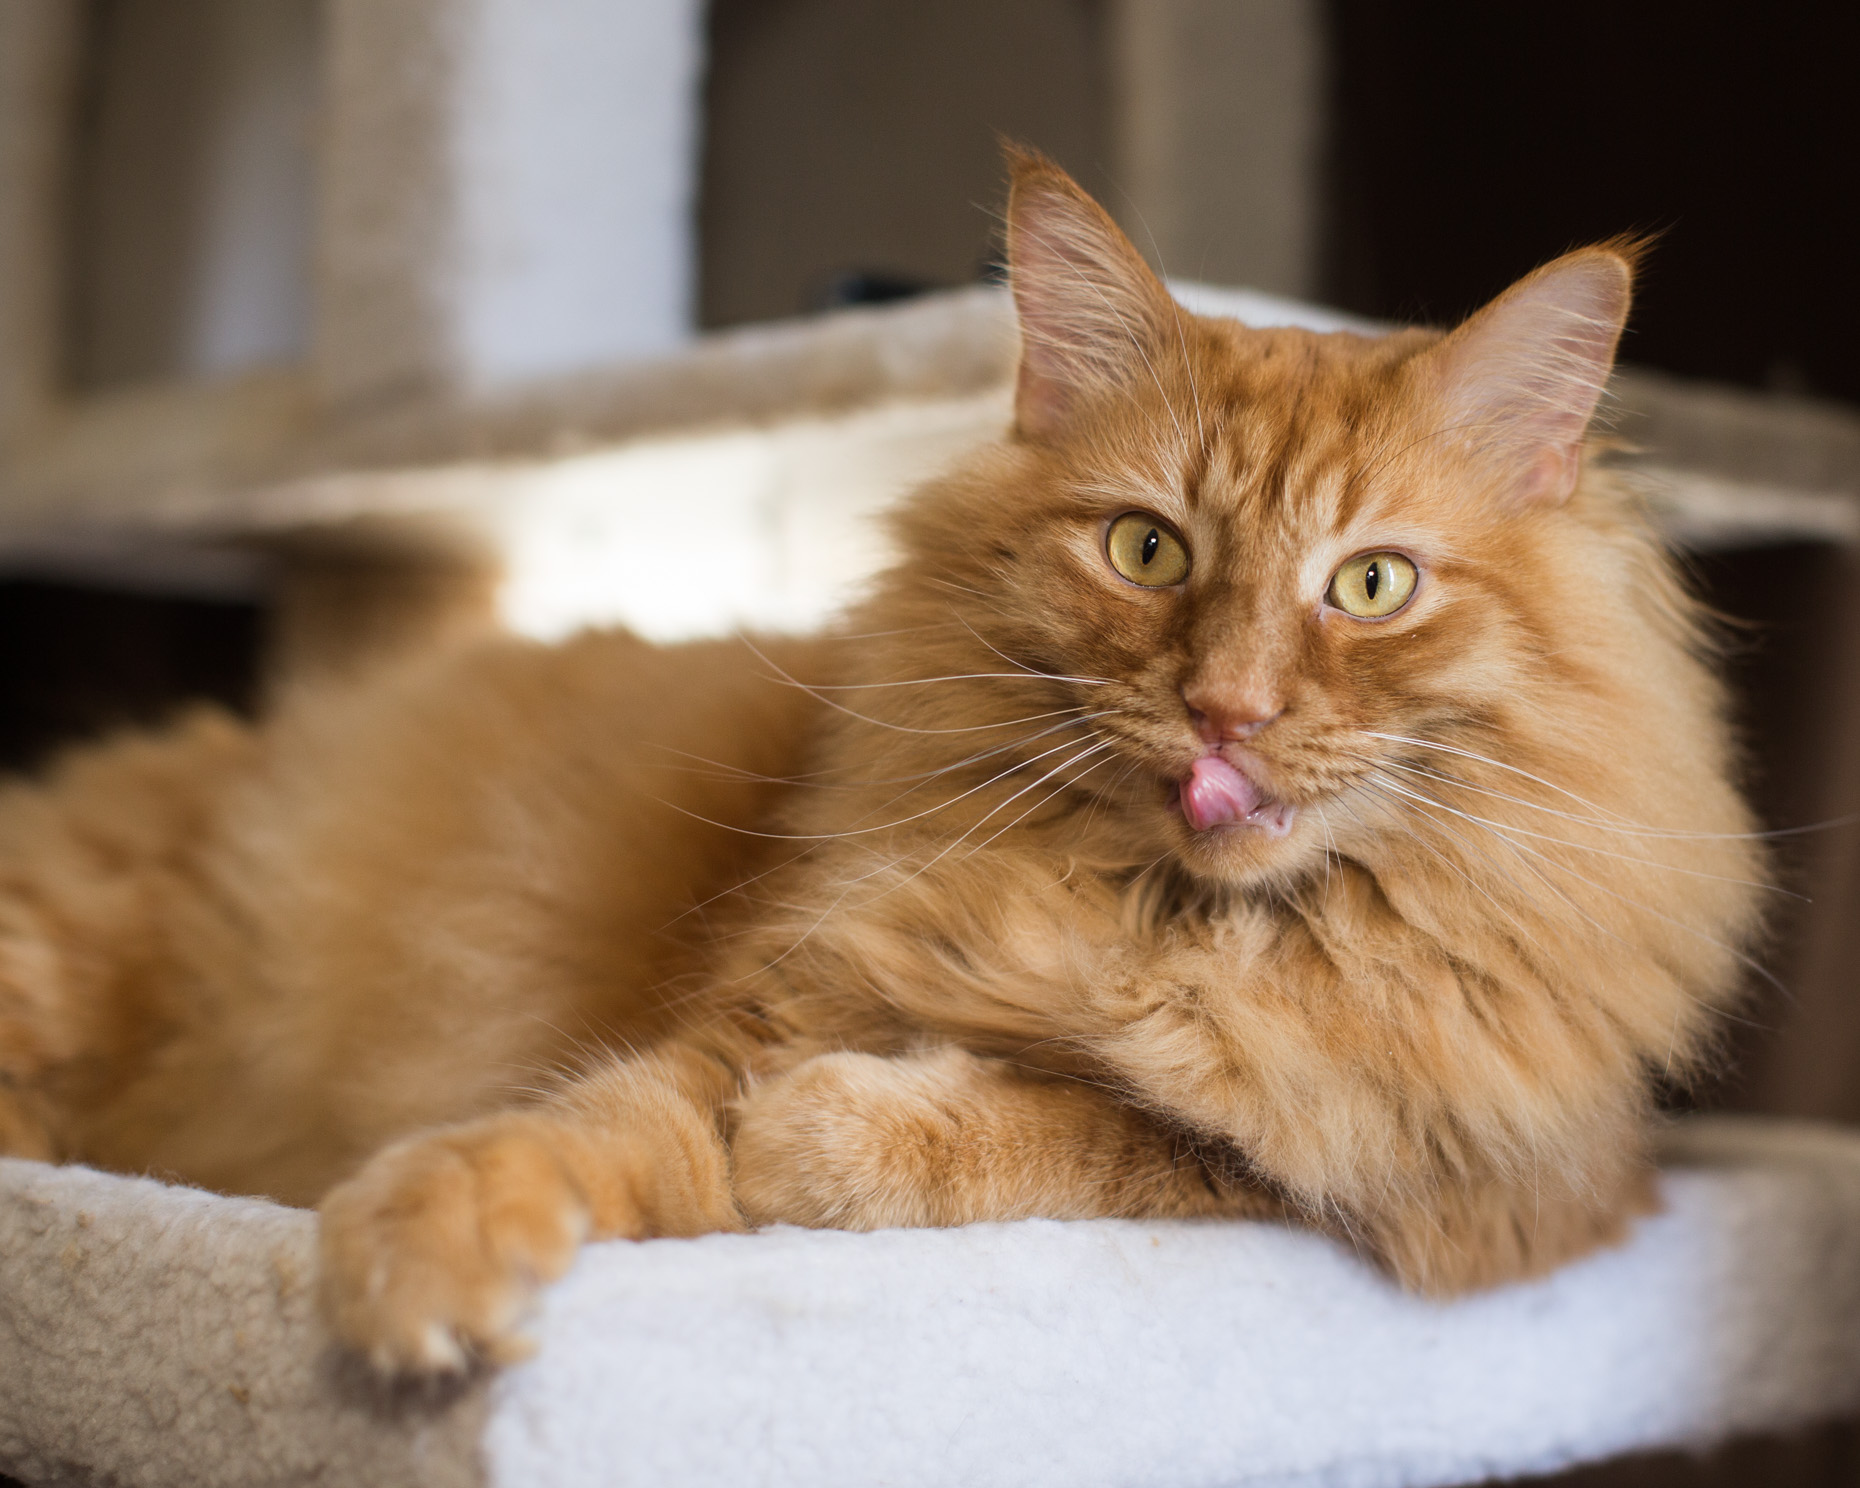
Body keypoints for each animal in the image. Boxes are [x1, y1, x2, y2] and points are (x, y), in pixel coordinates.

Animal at [0, 150, 1755, 1368]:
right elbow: (560, 1137)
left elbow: (1097, 1134)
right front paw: (422, 1257)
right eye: (1147, 550)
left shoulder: (1458, 1186)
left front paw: (829, 1136)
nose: (1228, 710)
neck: (1165, 928)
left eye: (1372, 585)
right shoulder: (748, 1017)